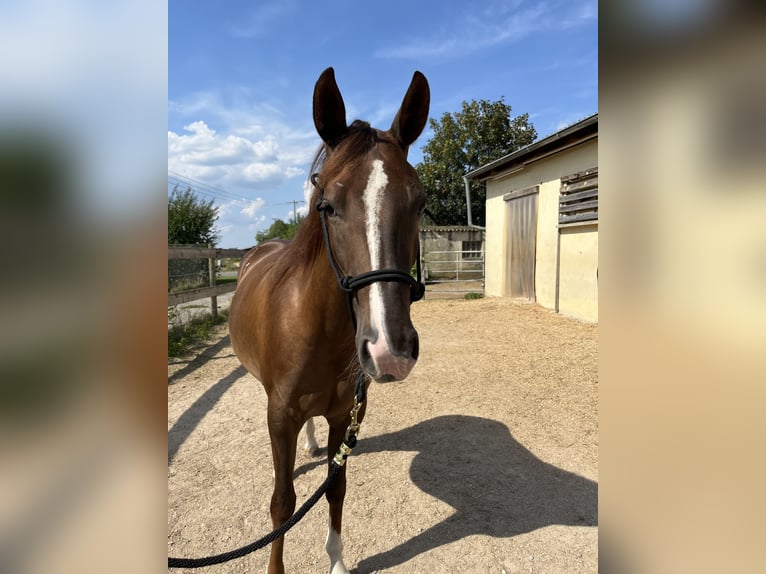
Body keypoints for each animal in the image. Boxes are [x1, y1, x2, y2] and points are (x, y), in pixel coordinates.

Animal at [228, 68, 432, 574]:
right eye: (327, 205)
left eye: (419, 203)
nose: (389, 350)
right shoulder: (279, 416)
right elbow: (283, 503)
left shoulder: (345, 415)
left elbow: (335, 489)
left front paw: (337, 561)